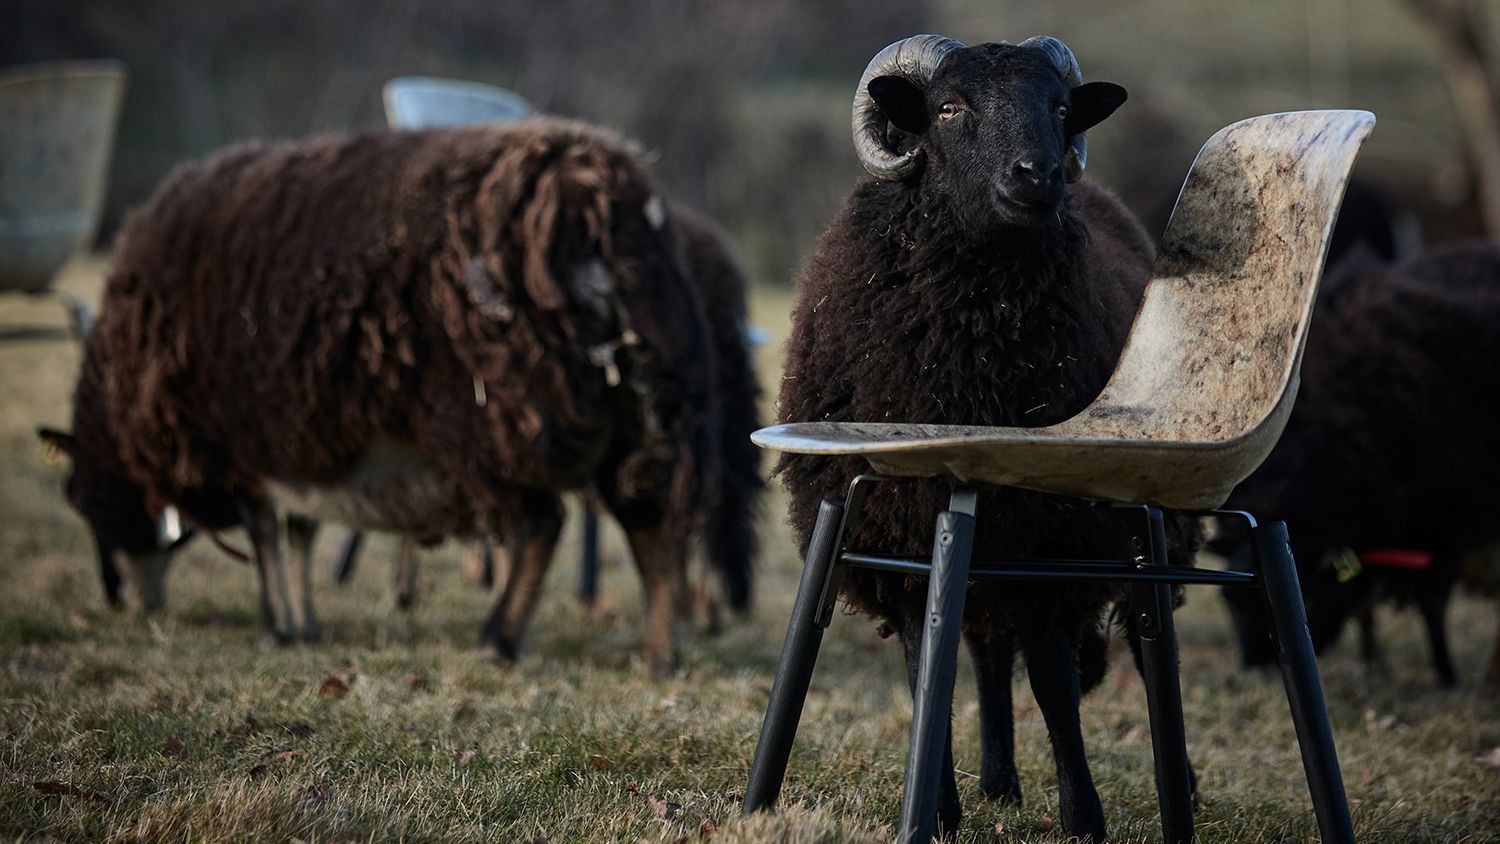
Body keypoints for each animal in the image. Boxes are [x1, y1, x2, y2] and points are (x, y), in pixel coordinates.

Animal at [42, 119, 720, 674]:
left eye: (80, 498)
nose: (123, 603)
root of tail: (602, 196)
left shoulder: (232, 438)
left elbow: (263, 534)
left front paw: (275, 628)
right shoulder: (298, 436)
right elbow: (299, 530)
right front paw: (304, 624)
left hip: (493, 410)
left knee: (540, 523)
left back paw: (497, 641)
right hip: (625, 408)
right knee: (649, 526)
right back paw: (661, 655)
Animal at [774, 34, 1182, 844]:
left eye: (1059, 107)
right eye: (948, 109)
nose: (1039, 176)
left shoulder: (1054, 538)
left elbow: (1054, 681)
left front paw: (1082, 815)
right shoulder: (900, 528)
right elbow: (924, 666)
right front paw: (937, 810)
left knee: (1140, 647)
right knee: (990, 651)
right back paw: (997, 781)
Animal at [1218, 241, 1500, 689]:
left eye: (1309, 601)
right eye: (1229, 600)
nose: (1259, 671)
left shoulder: (1439, 517)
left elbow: (1433, 605)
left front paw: (1447, 677)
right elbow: (1364, 605)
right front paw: (1373, 664)